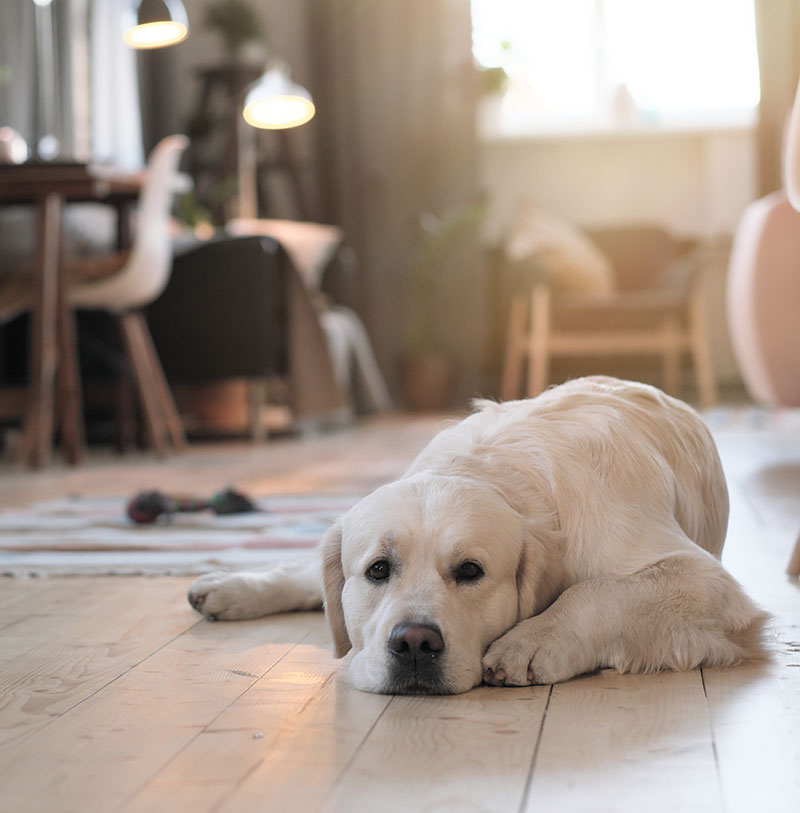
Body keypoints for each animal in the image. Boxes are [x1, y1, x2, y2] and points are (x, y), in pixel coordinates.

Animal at [188, 374, 768, 692]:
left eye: (470, 571)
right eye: (378, 569)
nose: (414, 643)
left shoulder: (707, 583)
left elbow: (594, 592)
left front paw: (531, 641)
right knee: (310, 568)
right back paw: (229, 587)